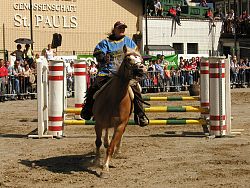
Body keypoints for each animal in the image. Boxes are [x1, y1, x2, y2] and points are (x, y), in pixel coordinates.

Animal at [93, 46, 146, 178]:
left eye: (140, 59)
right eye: (128, 59)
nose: (142, 68)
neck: (114, 99)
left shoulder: (120, 125)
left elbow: (111, 147)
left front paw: (105, 168)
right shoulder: (98, 123)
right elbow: (98, 142)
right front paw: (96, 160)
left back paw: (118, 151)